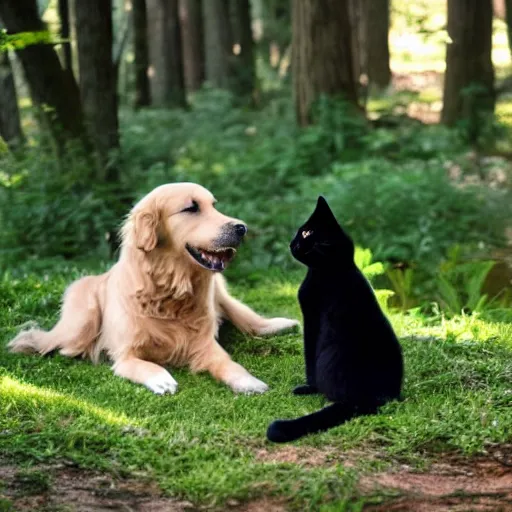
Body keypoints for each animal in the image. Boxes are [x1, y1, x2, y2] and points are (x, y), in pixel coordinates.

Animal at [266, 196, 402, 444]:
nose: (293, 241)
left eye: (306, 232)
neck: (335, 269)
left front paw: (308, 387)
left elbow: (308, 357)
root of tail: (369, 396)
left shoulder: (311, 318)